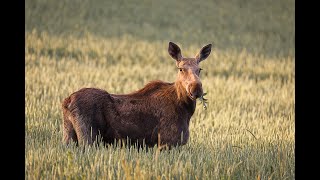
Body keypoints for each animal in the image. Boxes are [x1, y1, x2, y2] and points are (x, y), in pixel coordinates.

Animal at [62, 41, 212, 148]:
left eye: (200, 69)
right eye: (181, 69)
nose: (196, 88)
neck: (186, 110)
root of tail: (66, 102)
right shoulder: (166, 142)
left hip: (69, 135)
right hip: (88, 137)